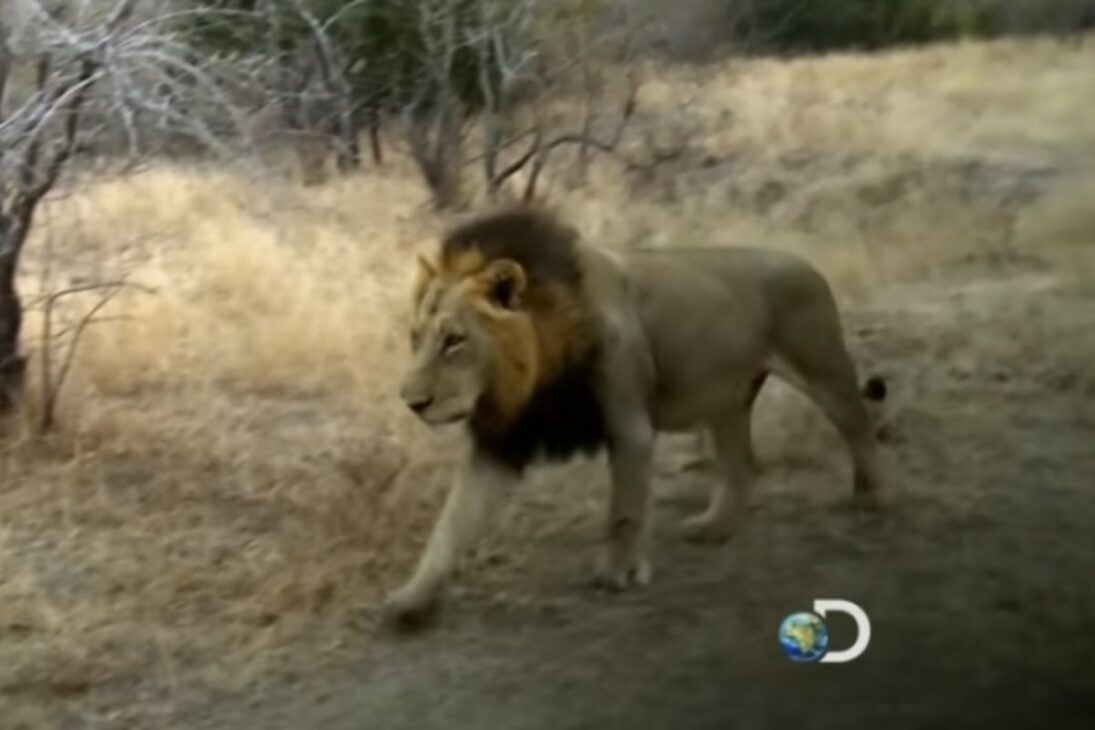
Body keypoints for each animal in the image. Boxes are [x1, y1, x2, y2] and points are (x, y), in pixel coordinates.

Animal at [387, 205, 886, 628]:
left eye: (455, 341)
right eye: (415, 338)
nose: (411, 402)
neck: (532, 376)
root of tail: (807, 264)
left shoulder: (629, 427)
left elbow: (623, 512)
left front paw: (618, 573)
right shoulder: (502, 439)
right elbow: (451, 524)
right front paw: (412, 599)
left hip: (821, 368)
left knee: (859, 425)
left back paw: (869, 498)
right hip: (726, 399)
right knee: (741, 465)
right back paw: (713, 527)